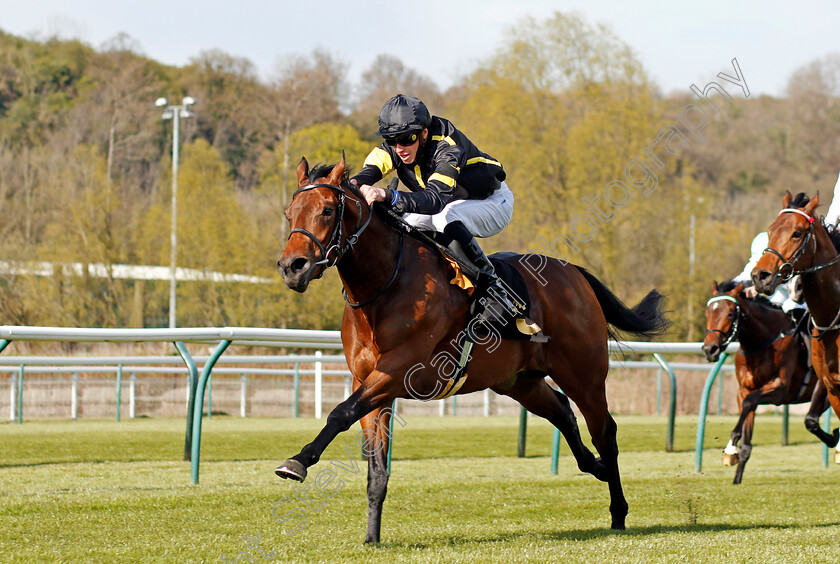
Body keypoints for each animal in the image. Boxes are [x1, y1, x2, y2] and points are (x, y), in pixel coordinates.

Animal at [276, 154, 668, 540]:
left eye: (327, 210)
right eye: (289, 212)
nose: (291, 267)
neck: (385, 283)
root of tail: (574, 273)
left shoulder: (397, 370)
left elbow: (340, 413)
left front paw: (297, 462)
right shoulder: (368, 382)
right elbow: (375, 466)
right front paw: (371, 537)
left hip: (584, 376)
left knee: (605, 432)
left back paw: (618, 511)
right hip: (518, 381)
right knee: (561, 410)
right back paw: (594, 467)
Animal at [704, 280, 832, 482]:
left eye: (731, 313)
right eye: (707, 312)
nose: (710, 349)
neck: (762, 342)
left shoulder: (780, 389)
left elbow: (750, 403)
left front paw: (731, 447)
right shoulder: (743, 391)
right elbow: (747, 416)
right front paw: (736, 475)